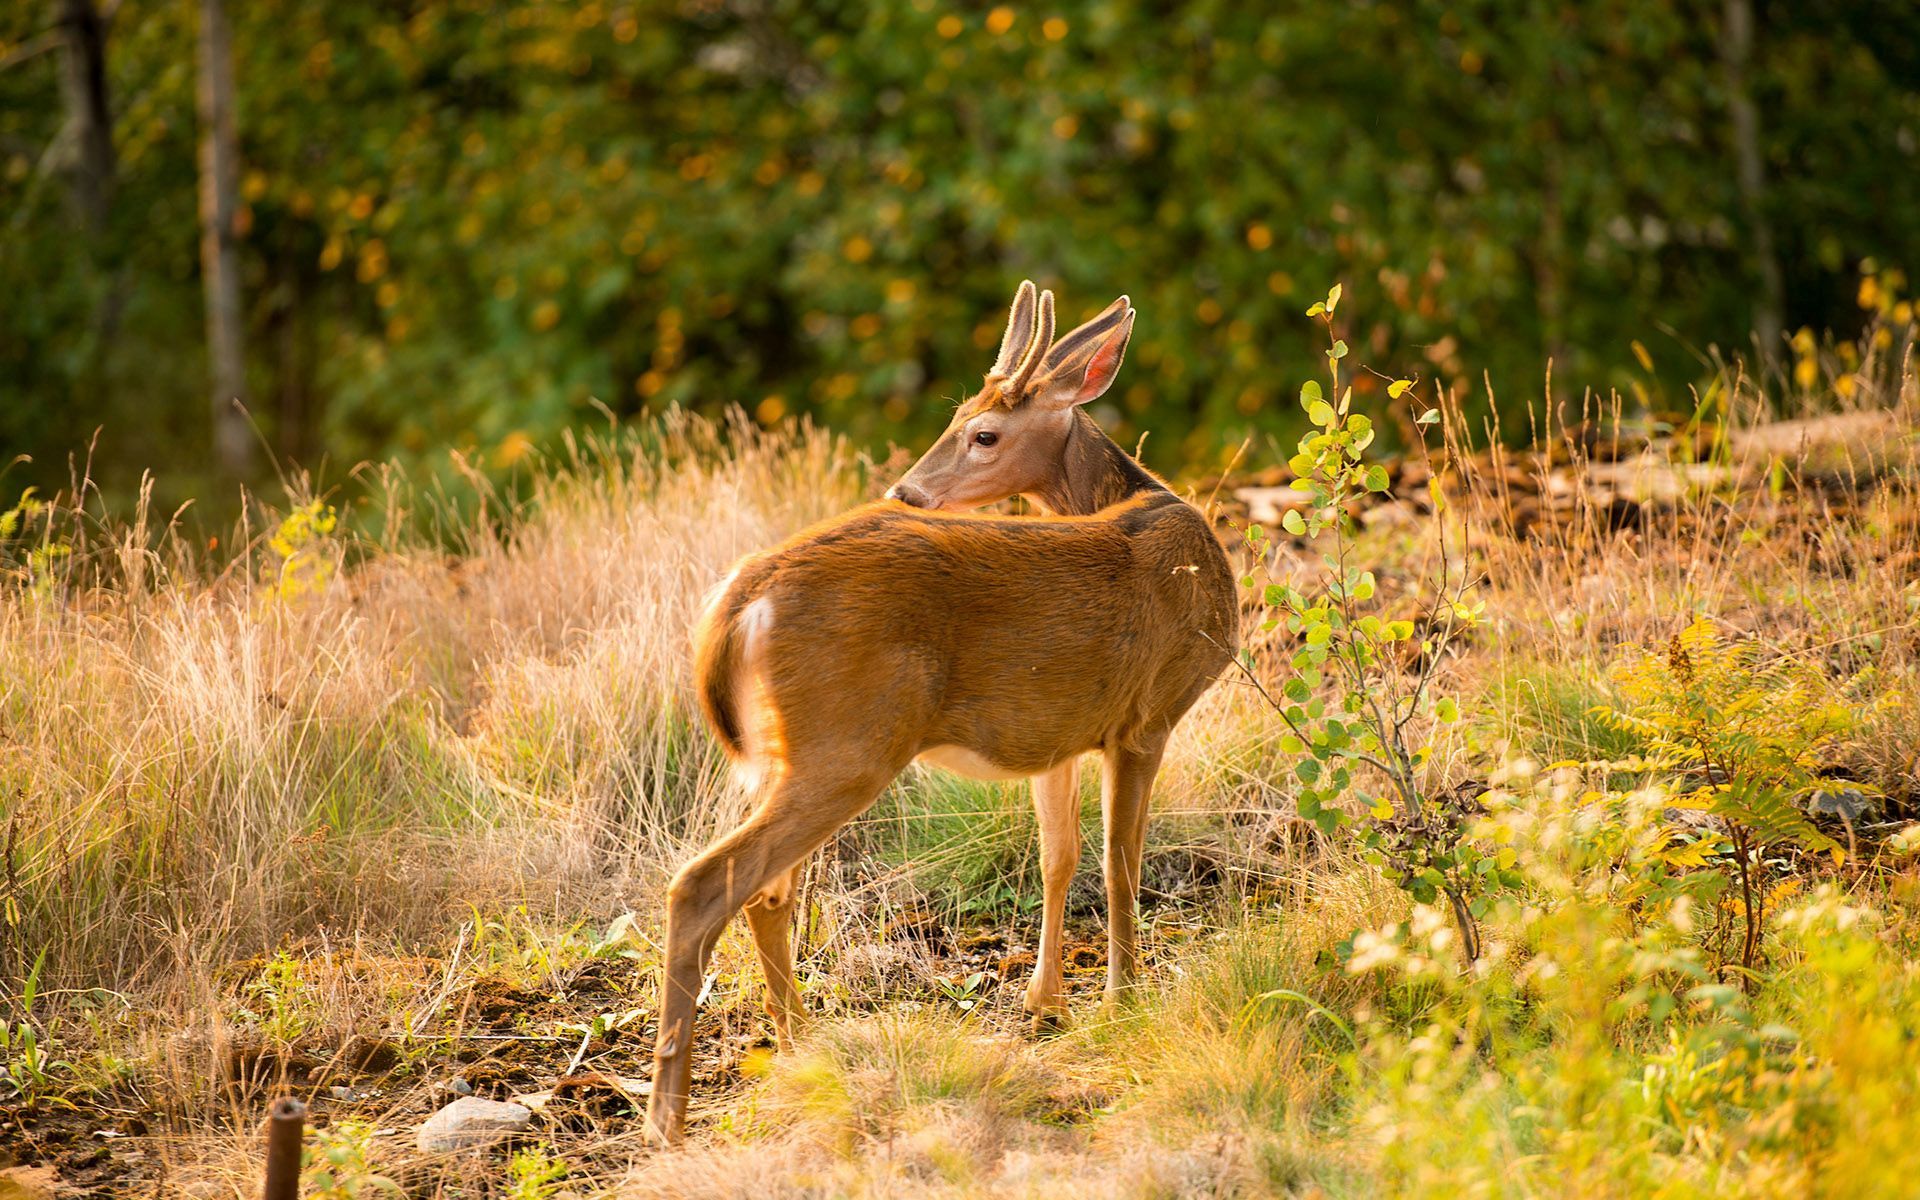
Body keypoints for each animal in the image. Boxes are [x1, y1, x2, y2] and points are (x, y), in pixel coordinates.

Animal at [652, 282, 1236, 1144]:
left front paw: (1046, 1002)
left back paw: (802, 1046)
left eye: (982, 429)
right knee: (705, 884)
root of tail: (741, 598)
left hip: (783, 753)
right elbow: (1119, 863)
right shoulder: (1147, 717)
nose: (906, 491)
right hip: (849, 743)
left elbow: (1059, 858)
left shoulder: (1060, 735)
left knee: (766, 891)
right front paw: (1125, 1002)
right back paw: (669, 1114)